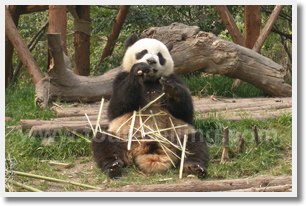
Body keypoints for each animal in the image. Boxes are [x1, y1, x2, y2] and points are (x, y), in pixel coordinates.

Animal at [92, 34, 209, 179]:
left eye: (160, 56)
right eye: (143, 52)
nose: (151, 61)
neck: (149, 81)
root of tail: (148, 151)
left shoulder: (174, 79)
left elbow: (185, 112)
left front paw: (171, 89)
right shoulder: (119, 80)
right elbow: (117, 106)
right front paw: (138, 70)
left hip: (179, 136)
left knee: (195, 144)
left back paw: (194, 166)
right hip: (122, 137)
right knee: (103, 140)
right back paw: (112, 166)